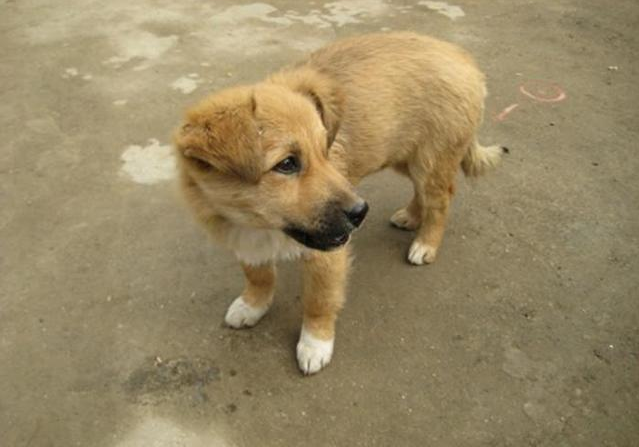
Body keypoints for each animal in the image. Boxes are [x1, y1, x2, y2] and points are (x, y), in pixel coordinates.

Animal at [175, 32, 504, 374]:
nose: (361, 212)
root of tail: (461, 56)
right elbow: (258, 275)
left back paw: (426, 243)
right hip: (404, 155)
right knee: (421, 192)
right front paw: (253, 304)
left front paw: (315, 342)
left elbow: (319, 300)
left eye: (325, 150)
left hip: (430, 161)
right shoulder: (244, 238)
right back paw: (411, 216)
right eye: (287, 164)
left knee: (440, 200)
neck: (263, 225)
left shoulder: (328, 251)